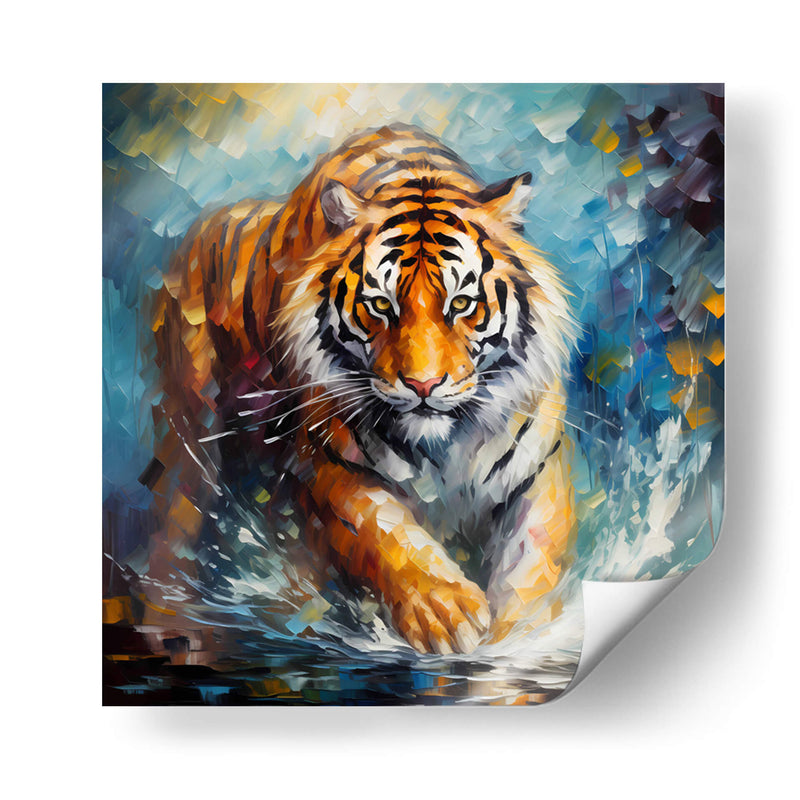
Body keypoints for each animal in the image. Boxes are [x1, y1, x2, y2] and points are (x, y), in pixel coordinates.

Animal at [147, 124, 579, 655]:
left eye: (461, 304)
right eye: (380, 305)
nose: (423, 384)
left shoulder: (536, 473)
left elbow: (533, 567)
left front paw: (522, 637)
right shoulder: (331, 466)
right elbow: (387, 534)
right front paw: (446, 611)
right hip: (191, 430)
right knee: (176, 515)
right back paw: (178, 627)